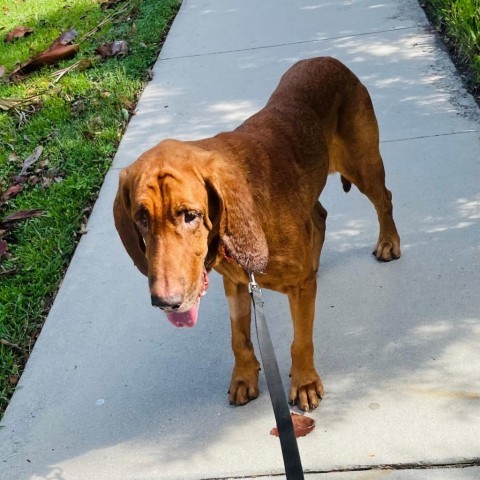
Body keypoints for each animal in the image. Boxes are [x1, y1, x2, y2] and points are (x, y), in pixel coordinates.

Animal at [114, 55, 400, 408]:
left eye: (190, 215)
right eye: (141, 218)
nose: (165, 302)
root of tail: (330, 60)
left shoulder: (298, 291)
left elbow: (301, 341)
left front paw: (305, 382)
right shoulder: (236, 286)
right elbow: (239, 338)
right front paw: (243, 377)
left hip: (363, 166)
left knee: (384, 199)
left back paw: (388, 242)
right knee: (319, 216)